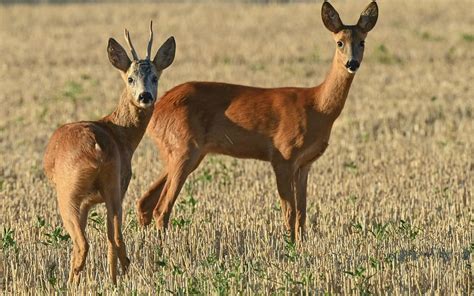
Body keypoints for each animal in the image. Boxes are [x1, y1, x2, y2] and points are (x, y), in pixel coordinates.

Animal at [42, 22, 175, 282]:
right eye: (130, 78)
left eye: (155, 77)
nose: (145, 96)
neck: (118, 132)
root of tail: (96, 146)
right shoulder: (114, 188)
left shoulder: (84, 200)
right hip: (113, 185)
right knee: (115, 235)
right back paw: (120, 275)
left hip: (68, 192)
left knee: (82, 243)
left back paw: (71, 284)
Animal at [137, 1, 378, 242]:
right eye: (339, 42)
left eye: (362, 41)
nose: (352, 63)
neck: (317, 107)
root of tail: (157, 109)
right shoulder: (283, 155)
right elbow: (290, 212)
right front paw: (289, 246)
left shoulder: (305, 164)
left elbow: (302, 213)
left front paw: (302, 244)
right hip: (184, 147)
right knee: (161, 207)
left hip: (183, 152)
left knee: (145, 202)